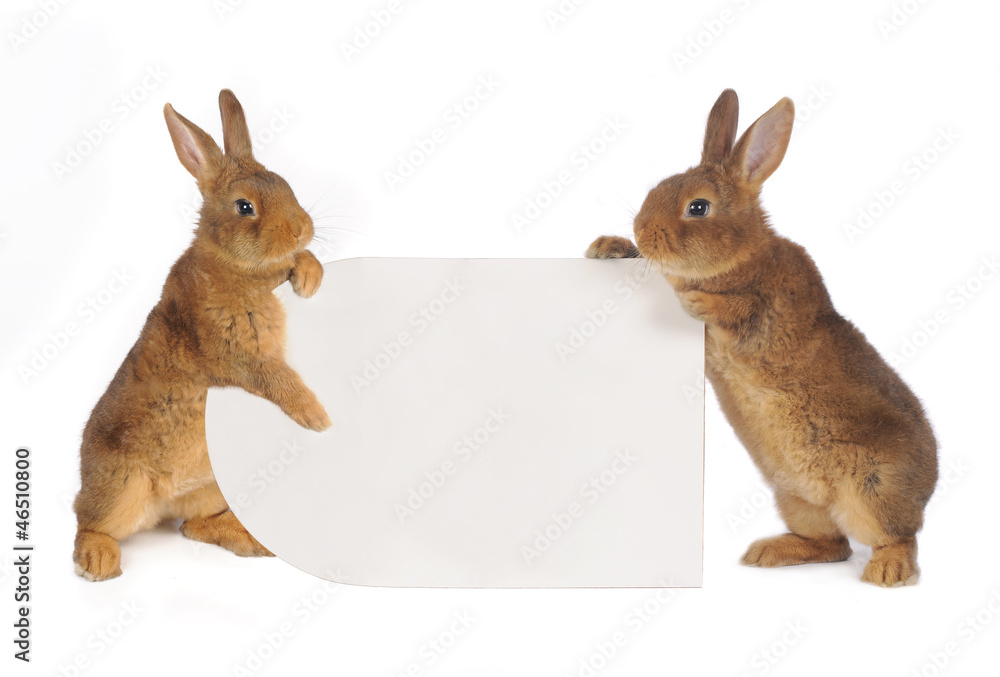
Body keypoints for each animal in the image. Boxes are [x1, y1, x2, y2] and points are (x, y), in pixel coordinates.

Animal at [73, 89, 331, 581]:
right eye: (244, 207)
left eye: (285, 184)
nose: (301, 228)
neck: (234, 266)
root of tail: (163, 505)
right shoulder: (238, 355)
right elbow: (280, 380)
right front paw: (317, 417)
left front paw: (309, 276)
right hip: (121, 488)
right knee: (88, 520)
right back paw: (98, 562)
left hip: (211, 489)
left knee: (193, 527)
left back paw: (249, 538)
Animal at [587, 89, 937, 586]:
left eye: (698, 207)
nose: (641, 229)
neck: (740, 255)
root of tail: (929, 487)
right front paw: (608, 246)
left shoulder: (777, 310)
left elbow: (741, 309)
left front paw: (697, 301)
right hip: (798, 502)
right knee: (833, 545)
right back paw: (769, 552)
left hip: (873, 493)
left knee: (898, 537)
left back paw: (888, 571)